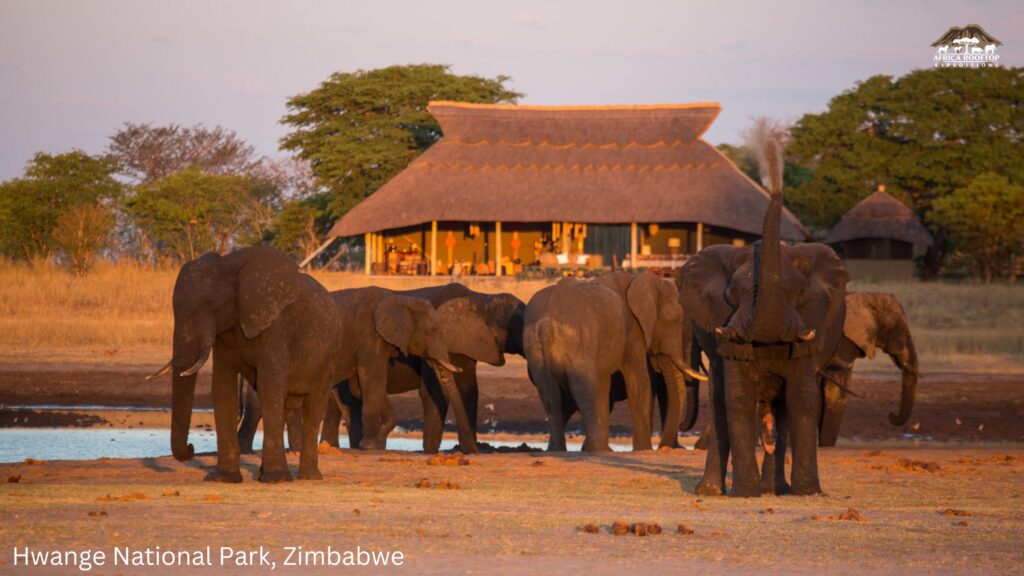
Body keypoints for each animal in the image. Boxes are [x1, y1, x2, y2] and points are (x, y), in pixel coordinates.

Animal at [146, 243, 344, 481]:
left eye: (210, 304)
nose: (192, 447)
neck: (229, 265)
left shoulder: (277, 325)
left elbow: (269, 386)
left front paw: (275, 480)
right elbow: (222, 389)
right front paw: (223, 479)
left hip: (329, 356)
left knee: (313, 406)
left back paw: (307, 477)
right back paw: (265, 474)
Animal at [234, 284, 462, 450]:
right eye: (434, 329)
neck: (398, 297)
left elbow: (362, 388)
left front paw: (375, 442)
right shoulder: (370, 337)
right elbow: (373, 382)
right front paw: (371, 446)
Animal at [524, 270, 700, 450]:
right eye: (674, 321)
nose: (663, 448)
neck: (641, 279)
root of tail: (545, 324)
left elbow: (605, 386)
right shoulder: (633, 332)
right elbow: (639, 383)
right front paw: (643, 449)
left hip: (536, 351)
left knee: (550, 396)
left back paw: (559, 449)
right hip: (578, 342)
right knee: (585, 390)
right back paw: (596, 449)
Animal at [679, 121, 847, 498]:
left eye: (797, 293)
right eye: (734, 294)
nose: (776, 181)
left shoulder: (809, 328)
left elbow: (802, 400)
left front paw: (809, 493)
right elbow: (739, 401)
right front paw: (745, 493)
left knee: (780, 412)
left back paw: (776, 489)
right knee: (723, 404)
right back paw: (711, 491)